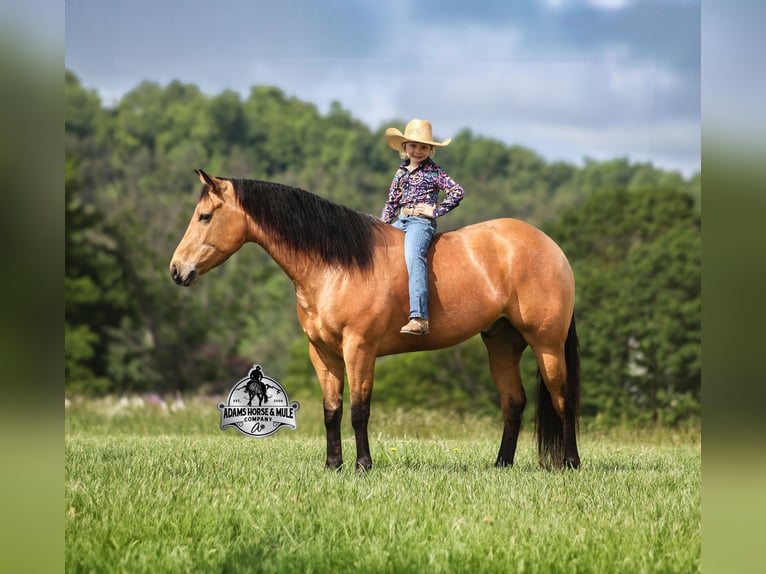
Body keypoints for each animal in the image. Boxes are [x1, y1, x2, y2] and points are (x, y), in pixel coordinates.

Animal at [170, 169, 581, 471]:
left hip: (546, 343)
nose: (176, 270)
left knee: (562, 397)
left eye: (205, 216)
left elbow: (359, 410)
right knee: (514, 402)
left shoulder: (359, 348)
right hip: (502, 343)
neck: (336, 266)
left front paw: (362, 465)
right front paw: (332, 465)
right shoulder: (323, 354)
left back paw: (570, 462)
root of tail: (552, 247)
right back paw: (501, 464)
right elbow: (332, 411)